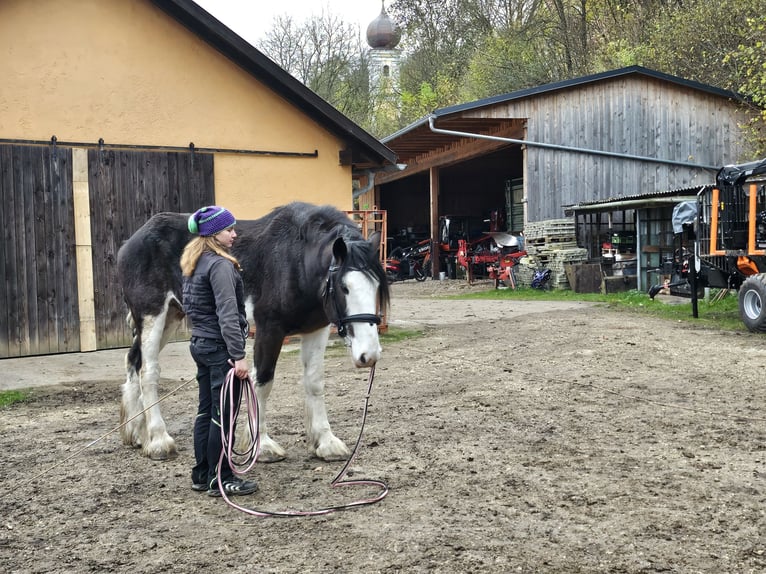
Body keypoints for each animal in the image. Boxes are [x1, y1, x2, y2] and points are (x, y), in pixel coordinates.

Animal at [117, 202, 390, 464]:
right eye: (344, 287)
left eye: (377, 285)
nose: (369, 355)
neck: (295, 261)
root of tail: (130, 243)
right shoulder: (269, 328)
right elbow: (263, 381)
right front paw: (262, 446)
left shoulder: (316, 329)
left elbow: (314, 382)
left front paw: (326, 442)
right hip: (153, 315)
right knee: (148, 370)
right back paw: (159, 441)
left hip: (171, 316)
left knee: (133, 361)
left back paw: (137, 433)